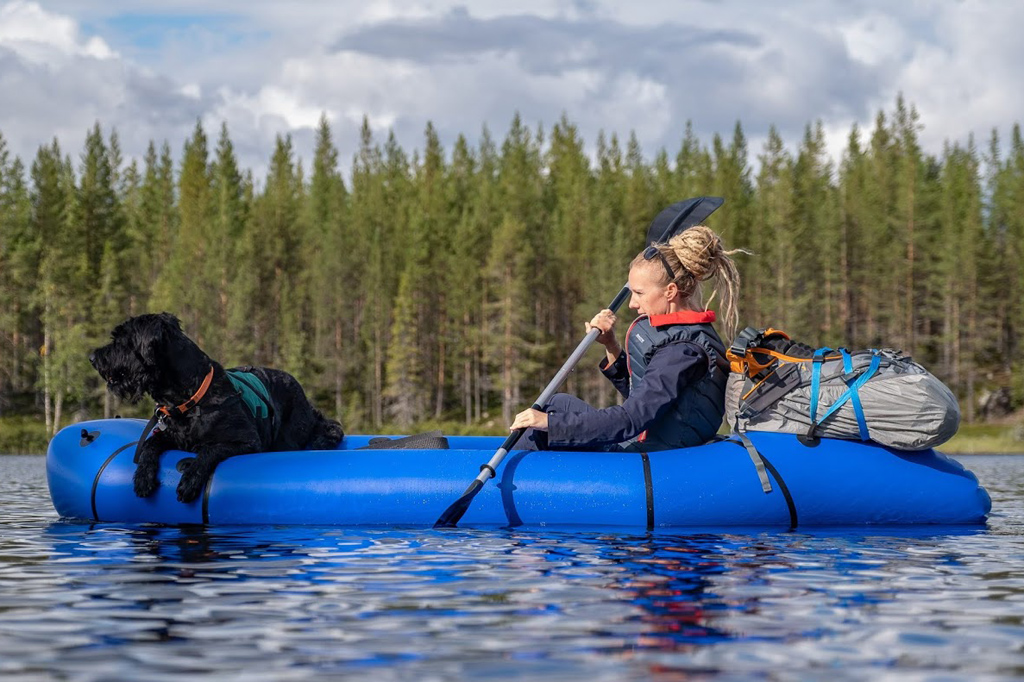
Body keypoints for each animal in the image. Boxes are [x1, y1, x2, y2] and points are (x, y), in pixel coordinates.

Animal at [89, 311, 344, 499]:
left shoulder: (248, 442)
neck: (190, 398)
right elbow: (150, 444)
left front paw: (190, 480)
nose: (92, 358)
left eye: (121, 341)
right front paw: (143, 477)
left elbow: (210, 449)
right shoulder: (170, 434)